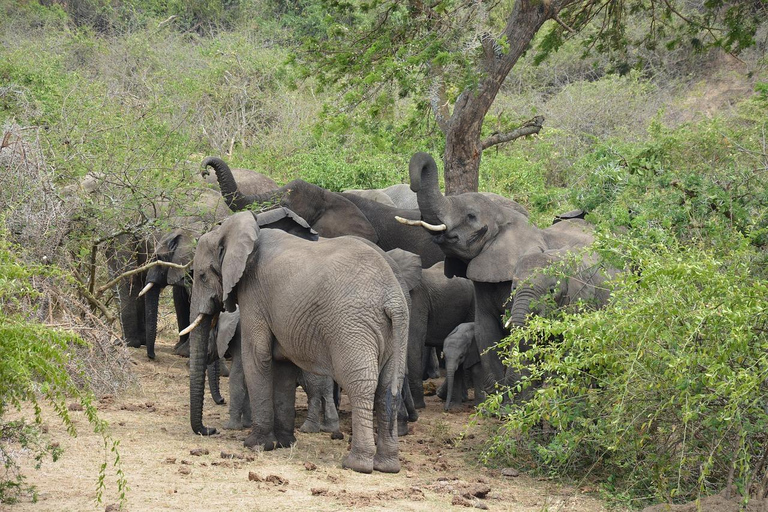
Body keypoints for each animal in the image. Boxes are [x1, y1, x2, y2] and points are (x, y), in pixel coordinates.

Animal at [183, 210, 412, 474]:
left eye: (202, 275)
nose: (210, 430)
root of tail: (392, 298)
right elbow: (283, 366)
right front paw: (285, 443)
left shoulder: (254, 294)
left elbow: (257, 357)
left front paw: (255, 444)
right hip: (396, 331)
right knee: (387, 387)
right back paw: (387, 466)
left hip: (353, 326)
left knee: (361, 384)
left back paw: (357, 464)